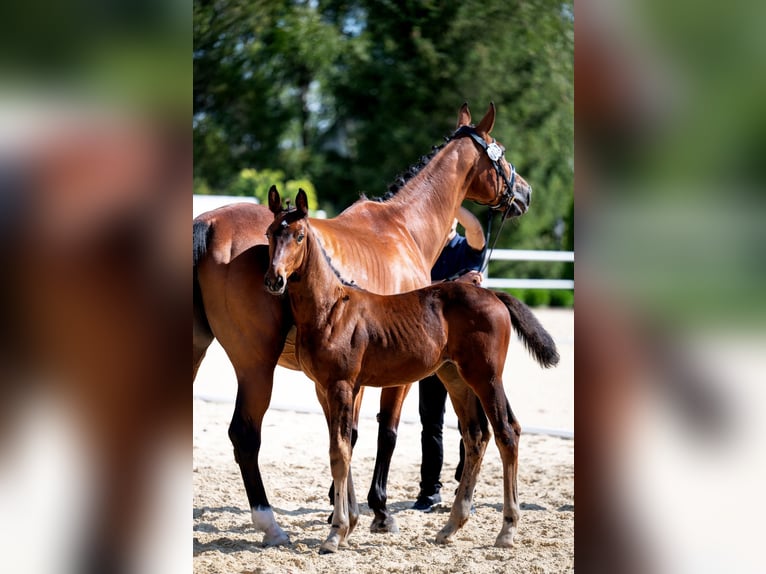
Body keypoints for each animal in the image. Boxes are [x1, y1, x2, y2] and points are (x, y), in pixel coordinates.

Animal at [192, 102, 532, 544]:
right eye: (500, 152)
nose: (524, 192)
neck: (402, 227)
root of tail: (208, 225)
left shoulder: (343, 377)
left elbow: (346, 436)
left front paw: (344, 511)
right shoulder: (397, 375)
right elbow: (385, 433)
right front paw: (378, 511)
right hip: (255, 364)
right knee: (245, 434)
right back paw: (270, 524)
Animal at [264, 188, 560, 552]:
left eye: (299, 236)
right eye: (270, 233)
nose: (274, 279)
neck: (331, 308)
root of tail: (491, 294)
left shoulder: (342, 385)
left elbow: (341, 451)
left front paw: (336, 532)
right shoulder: (324, 387)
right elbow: (342, 447)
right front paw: (347, 525)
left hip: (487, 376)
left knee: (507, 432)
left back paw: (507, 530)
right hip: (455, 377)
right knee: (476, 435)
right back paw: (451, 526)